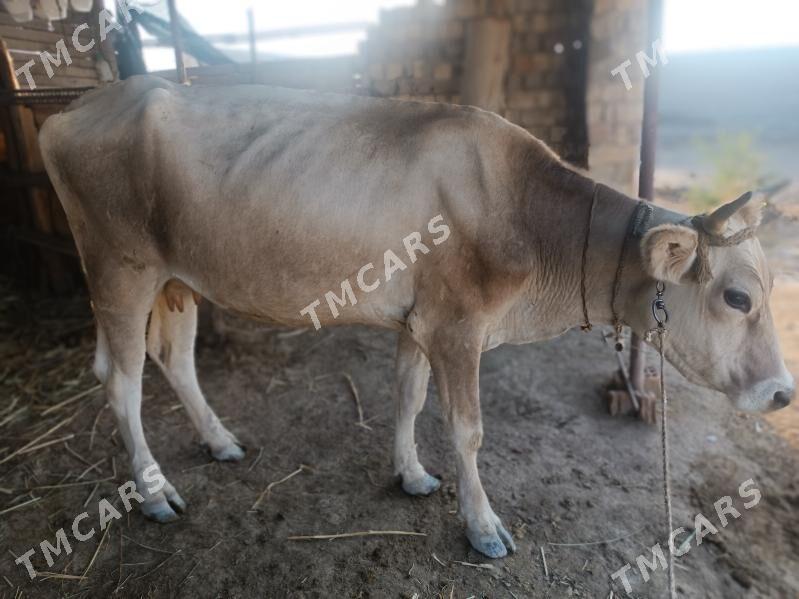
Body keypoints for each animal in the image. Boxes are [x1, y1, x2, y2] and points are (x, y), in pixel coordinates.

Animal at [40, 76, 796, 564]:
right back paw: (154, 493)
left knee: (174, 356)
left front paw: (408, 474)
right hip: (120, 267)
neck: (530, 221)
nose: (782, 393)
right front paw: (483, 526)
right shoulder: (459, 327)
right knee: (121, 380)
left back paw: (220, 440)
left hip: (176, 276)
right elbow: (467, 429)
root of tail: (74, 111)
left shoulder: (420, 319)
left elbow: (407, 396)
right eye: (737, 297)